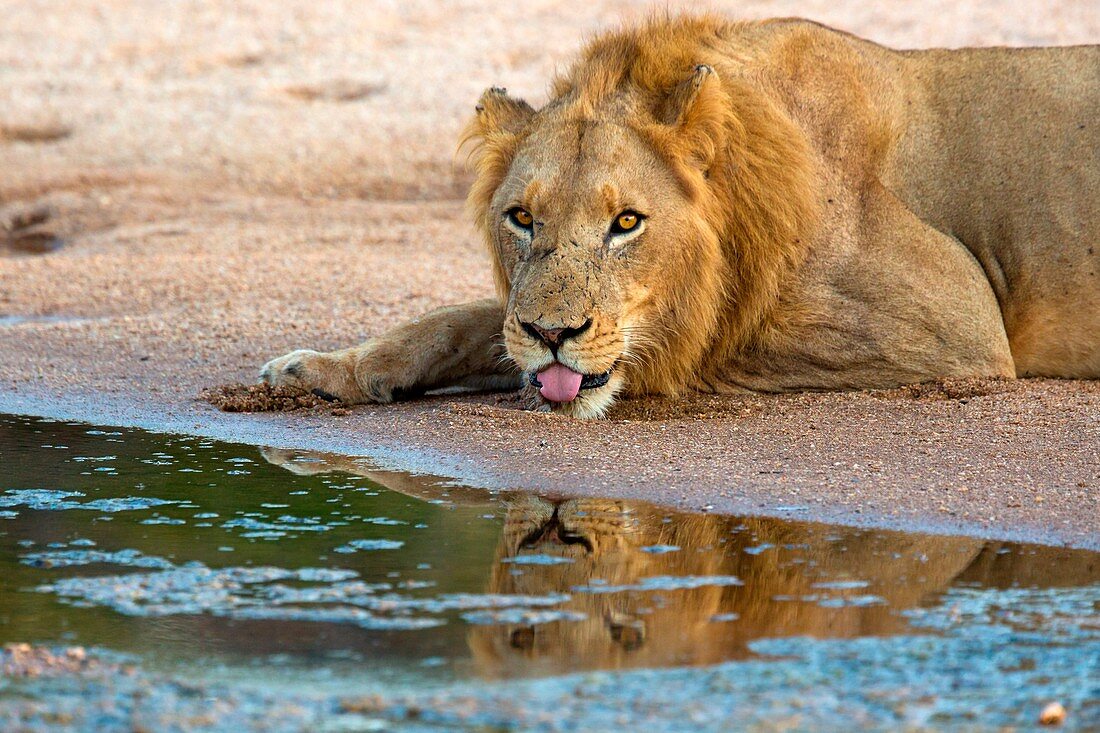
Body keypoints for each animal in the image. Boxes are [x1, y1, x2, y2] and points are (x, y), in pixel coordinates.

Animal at [259, 15, 1100, 416]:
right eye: (522, 219)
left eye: (627, 223)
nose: (554, 337)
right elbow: (466, 321)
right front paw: (325, 369)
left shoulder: (954, 323)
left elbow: (701, 345)